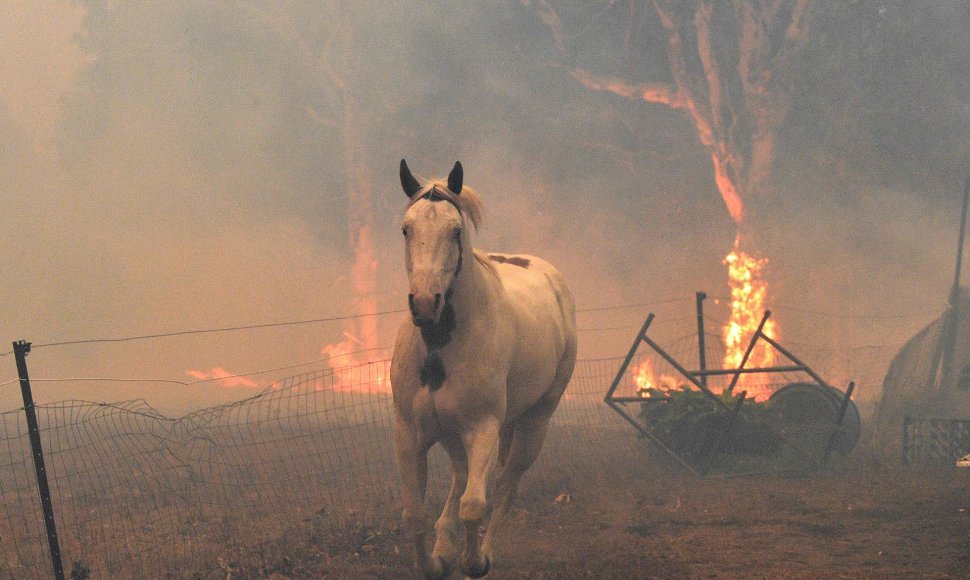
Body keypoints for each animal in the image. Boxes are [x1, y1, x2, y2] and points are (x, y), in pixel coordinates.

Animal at [390, 161, 576, 576]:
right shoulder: (411, 433)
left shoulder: (484, 428)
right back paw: (445, 546)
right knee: (462, 478)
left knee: (506, 485)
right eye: (407, 229)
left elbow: (475, 505)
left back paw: (484, 552)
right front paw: (435, 563)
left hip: (534, 422)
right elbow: (412, 515)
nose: (425, 304)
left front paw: (472, 562)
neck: (440, 347)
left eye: (455, 231)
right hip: (454, 434)